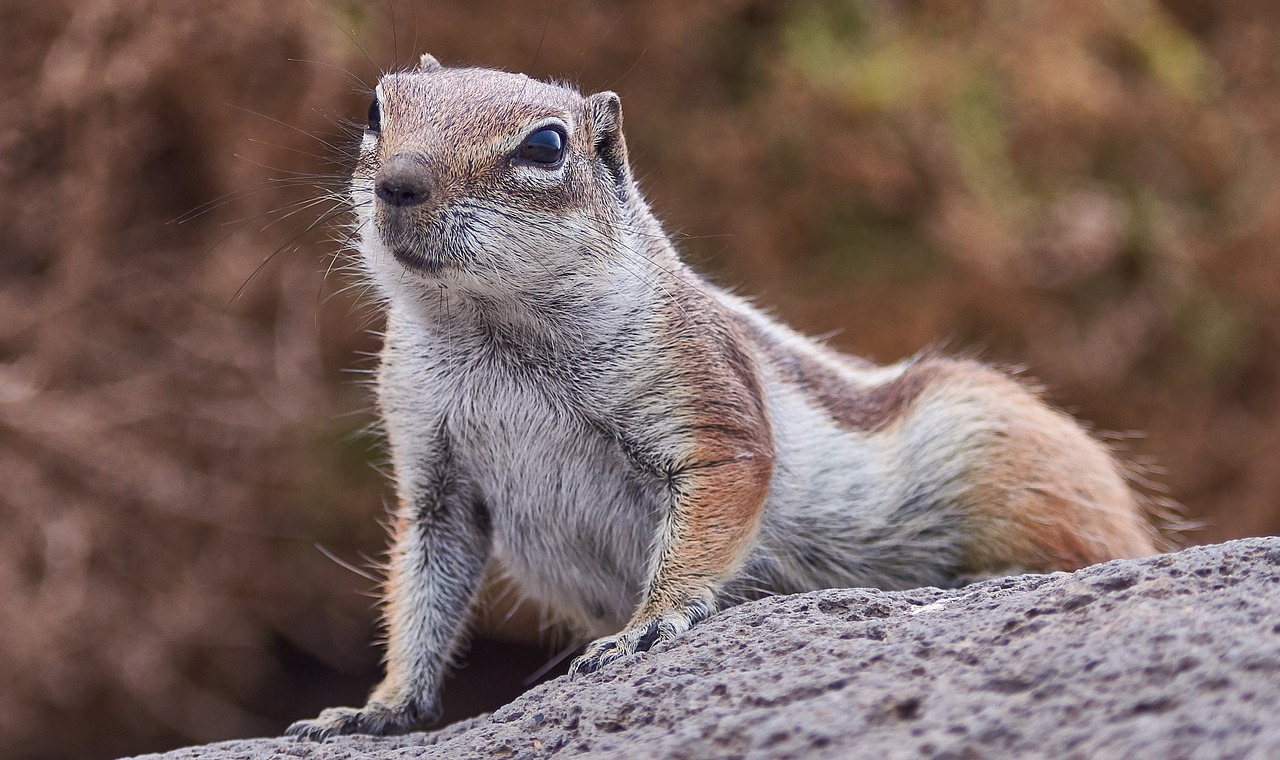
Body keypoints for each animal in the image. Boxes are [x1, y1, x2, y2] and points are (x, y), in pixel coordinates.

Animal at [285, 54, 1167, 742]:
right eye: (377, 108)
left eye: (545, 145)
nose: (399, 183)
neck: (489, 326)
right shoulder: (434, 475)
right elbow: (422, 588)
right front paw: (379, 706)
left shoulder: (705, 401)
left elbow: (714, 508)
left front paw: (650, 623)